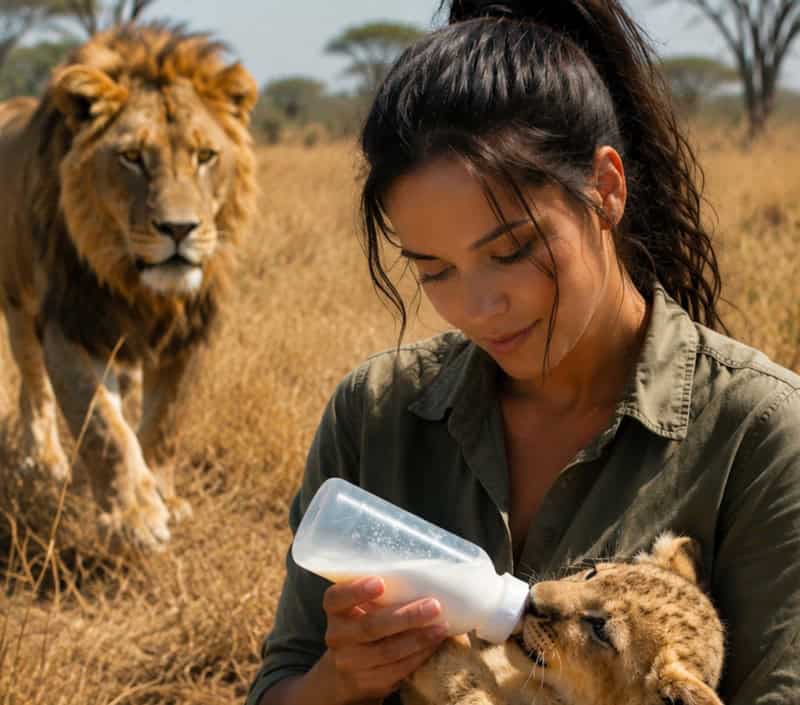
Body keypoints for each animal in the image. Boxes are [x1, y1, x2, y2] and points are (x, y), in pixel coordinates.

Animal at [0, 24, 257, 547]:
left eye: (205, 156)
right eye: (132, 158)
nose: (179, 229)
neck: (143, 290)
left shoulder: (190, 335)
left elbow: (164, 422)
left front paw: (165, 497)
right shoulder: (72, 323)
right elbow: (102, 425)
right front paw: (133, 517)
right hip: (18, 304)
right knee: (35, 386)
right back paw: (46, 460)